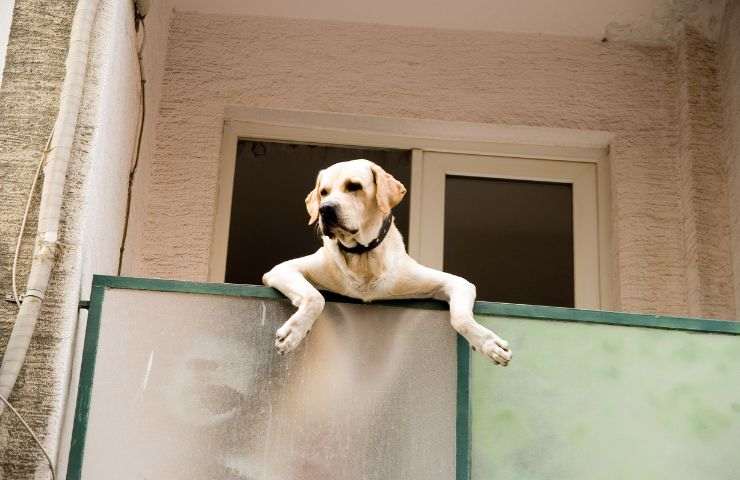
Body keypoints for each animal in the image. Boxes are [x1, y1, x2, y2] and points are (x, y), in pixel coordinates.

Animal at [264, 159, 512, 366]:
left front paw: (488, 343)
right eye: (323, 192)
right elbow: (315, 297)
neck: (363, 256)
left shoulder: (457, 283)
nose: (325, 209)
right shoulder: (281, 270)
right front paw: (294, 333)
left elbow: (461, 318)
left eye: (354, 186)